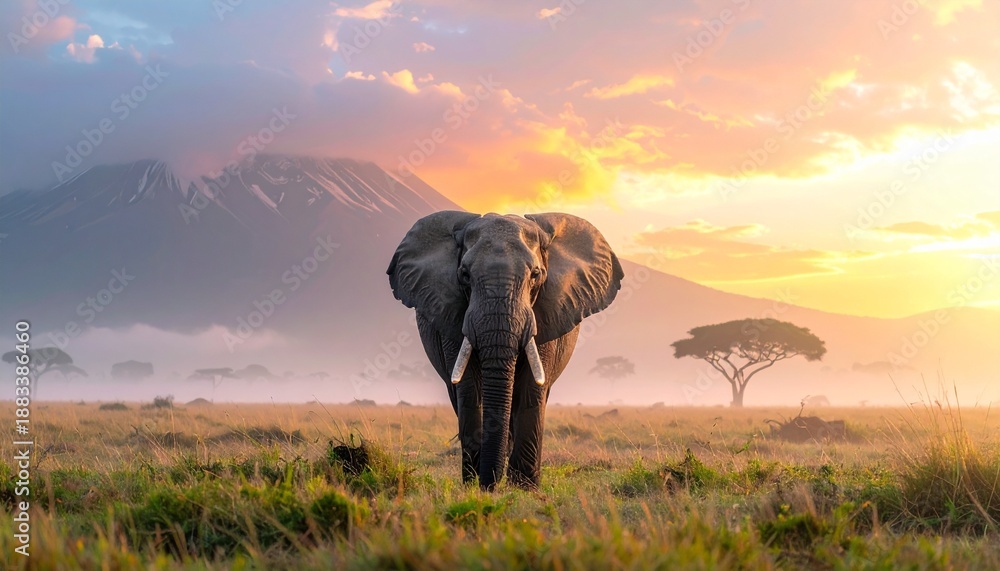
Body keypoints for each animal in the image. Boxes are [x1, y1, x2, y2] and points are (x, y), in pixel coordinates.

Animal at [387, 211, 623, 489]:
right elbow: (470, 387)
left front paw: (525, 488)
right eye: (464, 275)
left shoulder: (546, 313)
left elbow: (532, 387)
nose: (491, 485)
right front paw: (475, 485)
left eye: (535, 274)